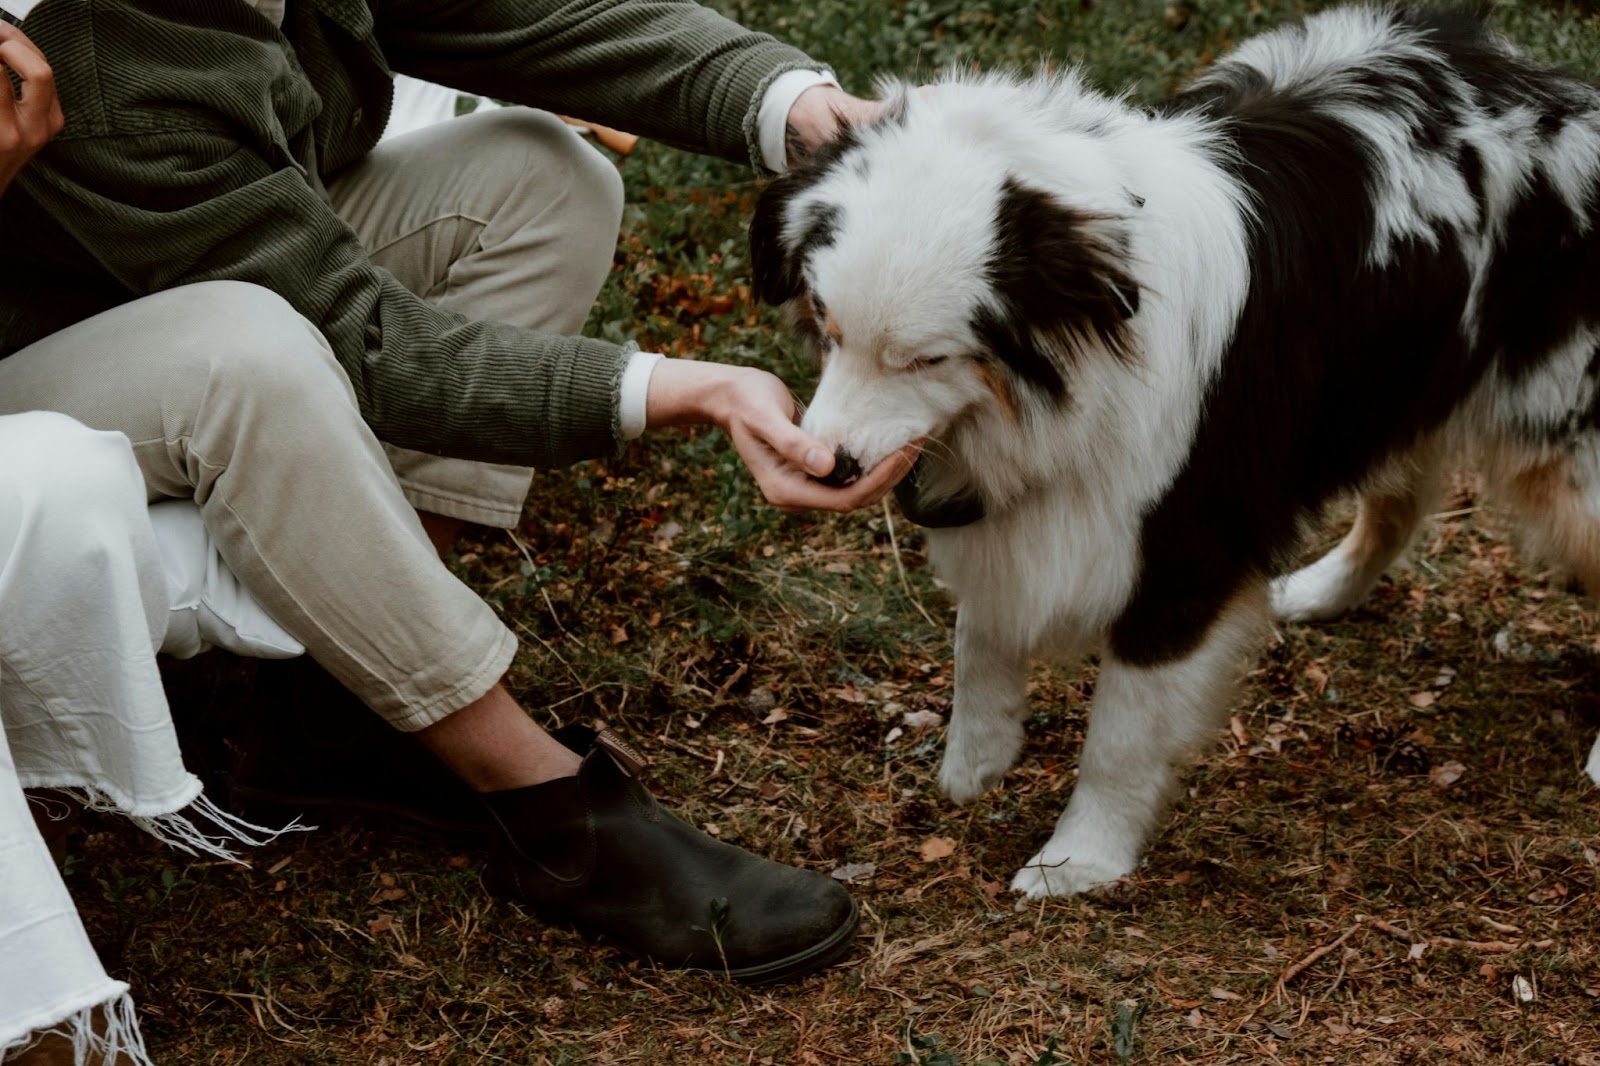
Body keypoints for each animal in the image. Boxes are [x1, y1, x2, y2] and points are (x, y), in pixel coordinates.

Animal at [748, 4, 1600, 889]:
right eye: (826, 325)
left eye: (927, 359)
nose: (830, 467)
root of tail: (1559, 89)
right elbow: (980, 638)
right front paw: (973, 767)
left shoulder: (1187, 545)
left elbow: (1120, 737)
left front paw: (1078, 862)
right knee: (1399, 503)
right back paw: (1321, 590)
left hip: (1566, 446)